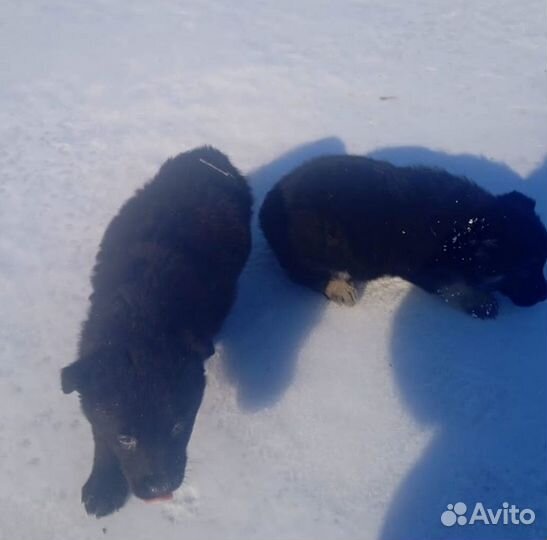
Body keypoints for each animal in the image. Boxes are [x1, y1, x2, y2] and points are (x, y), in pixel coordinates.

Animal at [60, 146, 253, 516]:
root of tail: (208, 154)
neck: (138, 313)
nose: (160, 489)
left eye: (179, 426)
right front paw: (103, 485)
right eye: (126, 438)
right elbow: (99, 430)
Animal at [262, 154, 547, 318]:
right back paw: (338, 287)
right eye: (526, 270)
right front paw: (479, 302)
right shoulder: (422, 267)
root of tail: (267, 205)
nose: (544, 296)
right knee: (301, 273)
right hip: (318, 241)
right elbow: (452, 286)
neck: (467, 228)